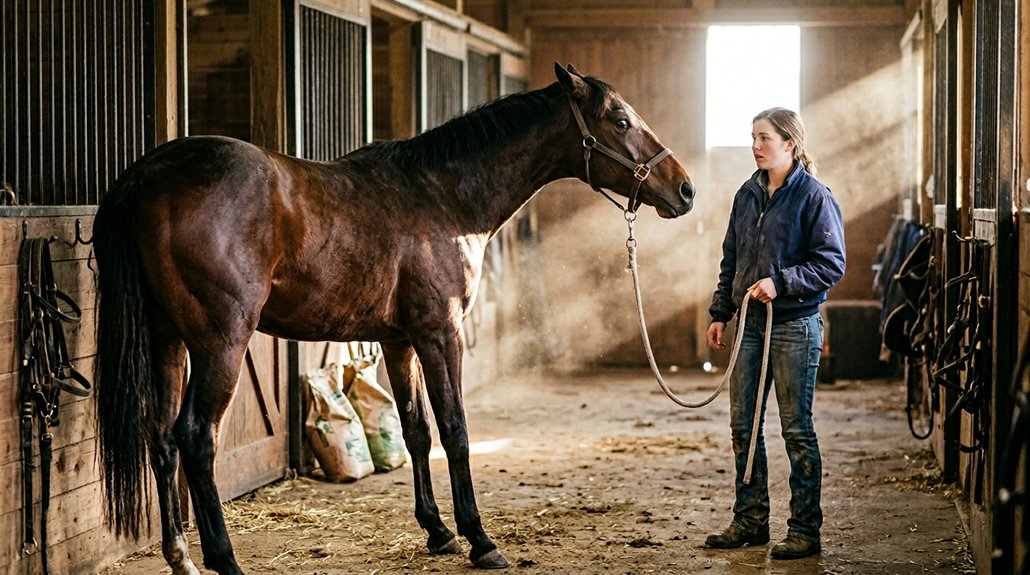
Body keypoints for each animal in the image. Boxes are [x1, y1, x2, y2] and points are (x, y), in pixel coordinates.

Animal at [93, 62, 695, 575]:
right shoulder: (441, 335)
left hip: (167, 341)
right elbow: (455, 429)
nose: (684, 189)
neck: (444, 198)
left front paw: (438, 531)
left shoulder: (399, 341)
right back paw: (224, 560)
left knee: (161, 438)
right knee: (196, 437)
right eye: (620, 120)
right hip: (221, 344)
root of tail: (145, 175)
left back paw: (182, 557)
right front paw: (479, 539)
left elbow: (416, 430)